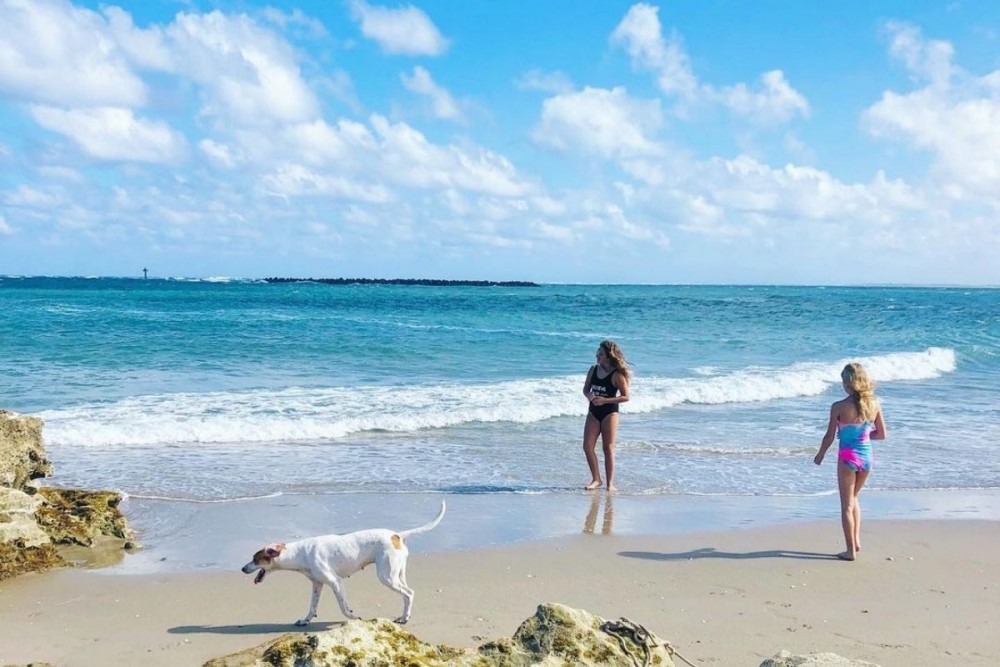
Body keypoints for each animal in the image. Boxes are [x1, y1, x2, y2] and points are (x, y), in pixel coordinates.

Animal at [242, 500, 446, 628]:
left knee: (409, 593)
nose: (243, 569)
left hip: (387, 577)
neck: (300, 553)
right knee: (407, 594)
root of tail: (396, 535)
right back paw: (405, 615)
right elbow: (312, 607)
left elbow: (343, 607)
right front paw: (305, 620)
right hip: (397, 574)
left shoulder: (335, 582)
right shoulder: (317, 585)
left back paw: (404, 618)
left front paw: (353, 617)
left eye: (255, 559)